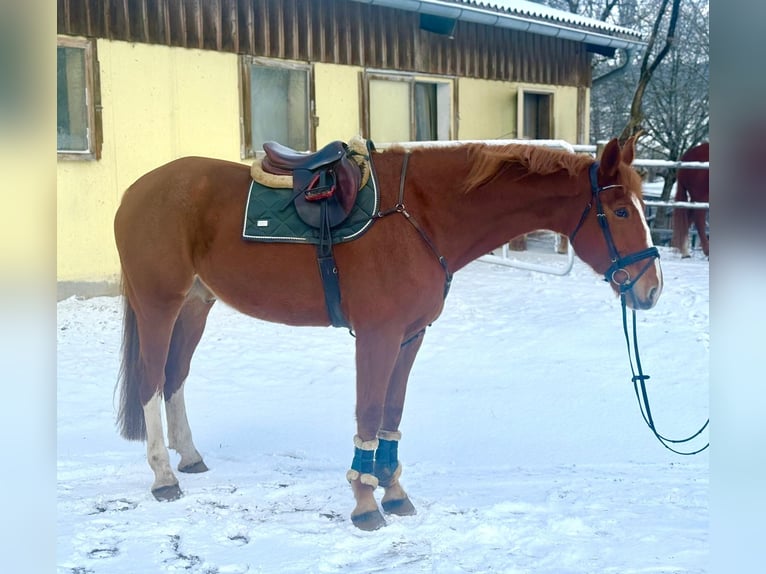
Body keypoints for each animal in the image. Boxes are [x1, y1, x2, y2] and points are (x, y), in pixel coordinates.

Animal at [113, 135, 662, 531]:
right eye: (619, 211)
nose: (651, 289)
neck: (421, 216)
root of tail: (136, 191)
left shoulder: (410, 335)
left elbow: (392, 414)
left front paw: (393, 492)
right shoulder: (377, 336)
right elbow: (370, 411)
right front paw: (364, 501)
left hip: (195, 305)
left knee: (175, 377)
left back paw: (189, 457)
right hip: (160, 305)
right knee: (151, 381)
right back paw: (163, 476)